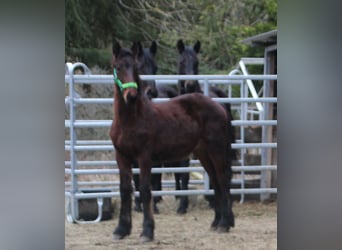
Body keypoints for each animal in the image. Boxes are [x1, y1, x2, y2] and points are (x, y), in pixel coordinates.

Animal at [176, 39, 238, 207]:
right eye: (182, 62)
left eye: (196, 62)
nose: (190, 84)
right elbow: (183, 173)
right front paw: (182, 205)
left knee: (225, 171)